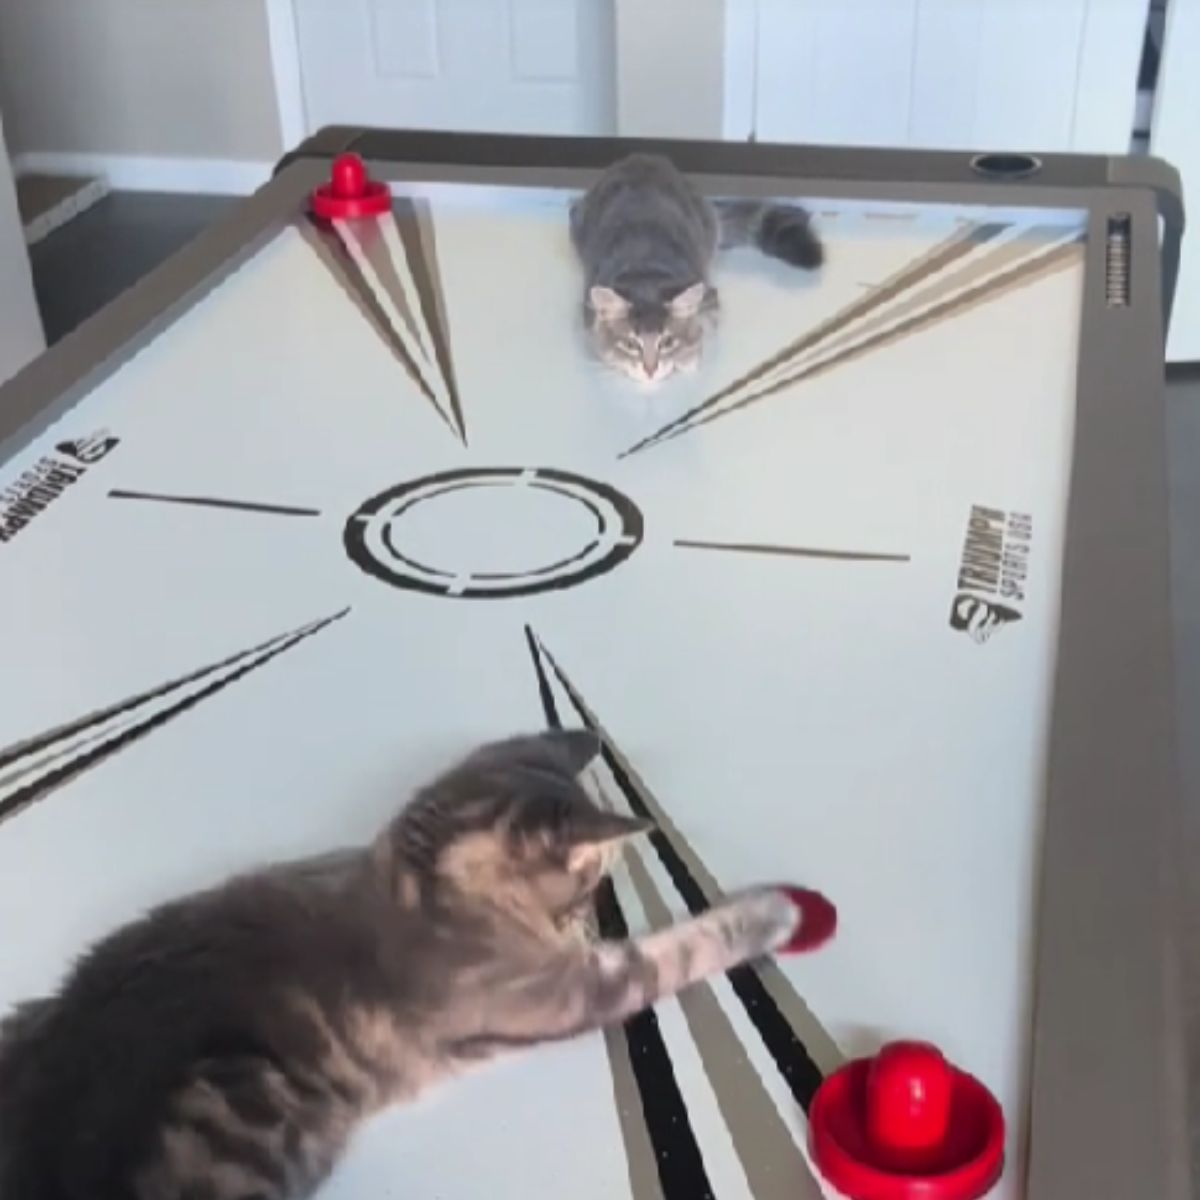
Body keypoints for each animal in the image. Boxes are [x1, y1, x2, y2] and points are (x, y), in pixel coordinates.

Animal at [0, 729, 835, 1200]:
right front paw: (771, 910)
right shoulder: (576, 988)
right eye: (588, 882)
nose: (580, 924)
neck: (417, 879)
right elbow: (682, 945)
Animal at [571, 151, 825, 384]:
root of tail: (642, 157)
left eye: (667, 342)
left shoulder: (709, 298)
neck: (646, 269)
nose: (650, 371)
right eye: (631, 344)